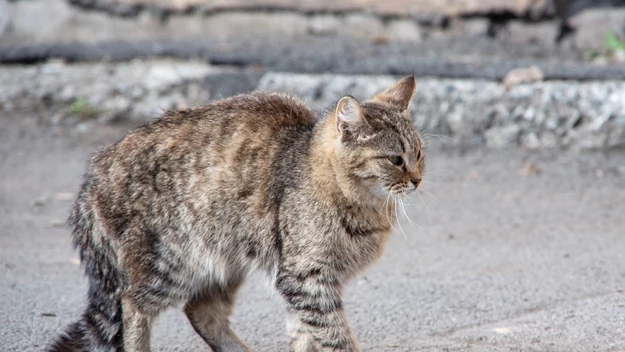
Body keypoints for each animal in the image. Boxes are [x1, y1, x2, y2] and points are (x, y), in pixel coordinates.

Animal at [50, 75, 424, 350]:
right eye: (396, 159)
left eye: (420, 153)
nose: (418, 179)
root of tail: (93, 171)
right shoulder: (306, 277)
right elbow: (335, 336)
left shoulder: (301, 285)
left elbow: (305, 336)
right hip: (169, 261)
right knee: (133, 306)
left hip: (224, 260)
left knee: (201, 311)